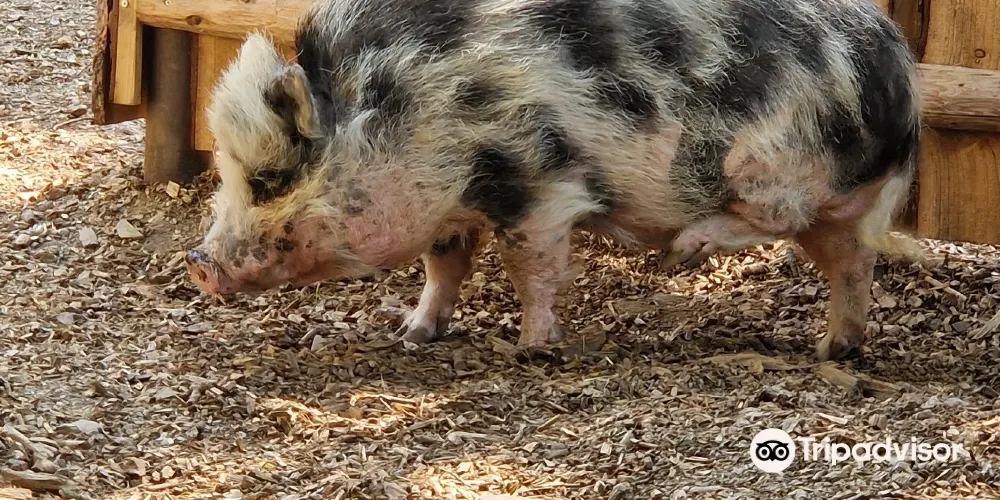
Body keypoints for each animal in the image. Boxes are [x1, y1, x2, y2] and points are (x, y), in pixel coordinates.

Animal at [186, 0, 924, 361]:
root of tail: (902, 80)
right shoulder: (449, 204)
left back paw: (685, 251)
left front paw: (532, 350)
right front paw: (413, 333)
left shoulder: (537, 183)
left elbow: (530, 267)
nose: (197, 261)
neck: (403, 101)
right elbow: (443, 267)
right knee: (852, 264)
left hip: (771, 163)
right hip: (838, 206)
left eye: (270, 176)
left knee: (775, 216)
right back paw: (835, 348)